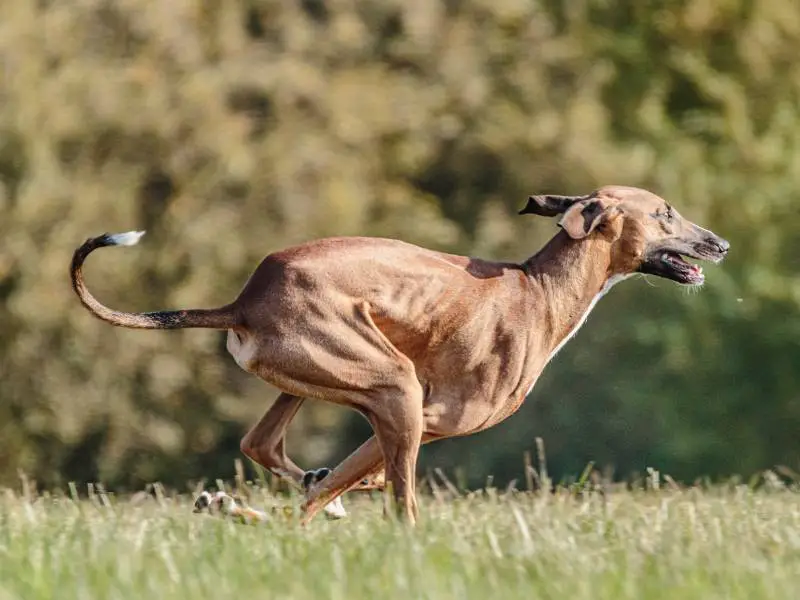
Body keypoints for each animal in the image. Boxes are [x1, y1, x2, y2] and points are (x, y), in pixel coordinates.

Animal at [72, 185, 728, 524]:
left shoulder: (410, 425)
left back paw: (251, 502)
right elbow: (369, 487)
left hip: (319, 383)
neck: (539, 289)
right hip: (394, 387)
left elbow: (341, 481)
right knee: (385, 504)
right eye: (665, 212)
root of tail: (245, 299)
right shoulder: (429, 418)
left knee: (266, 449)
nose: (720, 244)